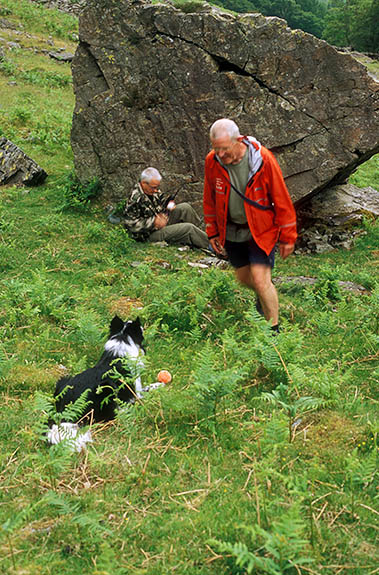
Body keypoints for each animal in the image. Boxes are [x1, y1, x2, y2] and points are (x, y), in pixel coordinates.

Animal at [47, 316, 162, 450]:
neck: (122, 340)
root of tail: (63, 412)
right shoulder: (136, 393)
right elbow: (148, 390)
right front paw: (159, 385)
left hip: (63, 380)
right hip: (107, 388)